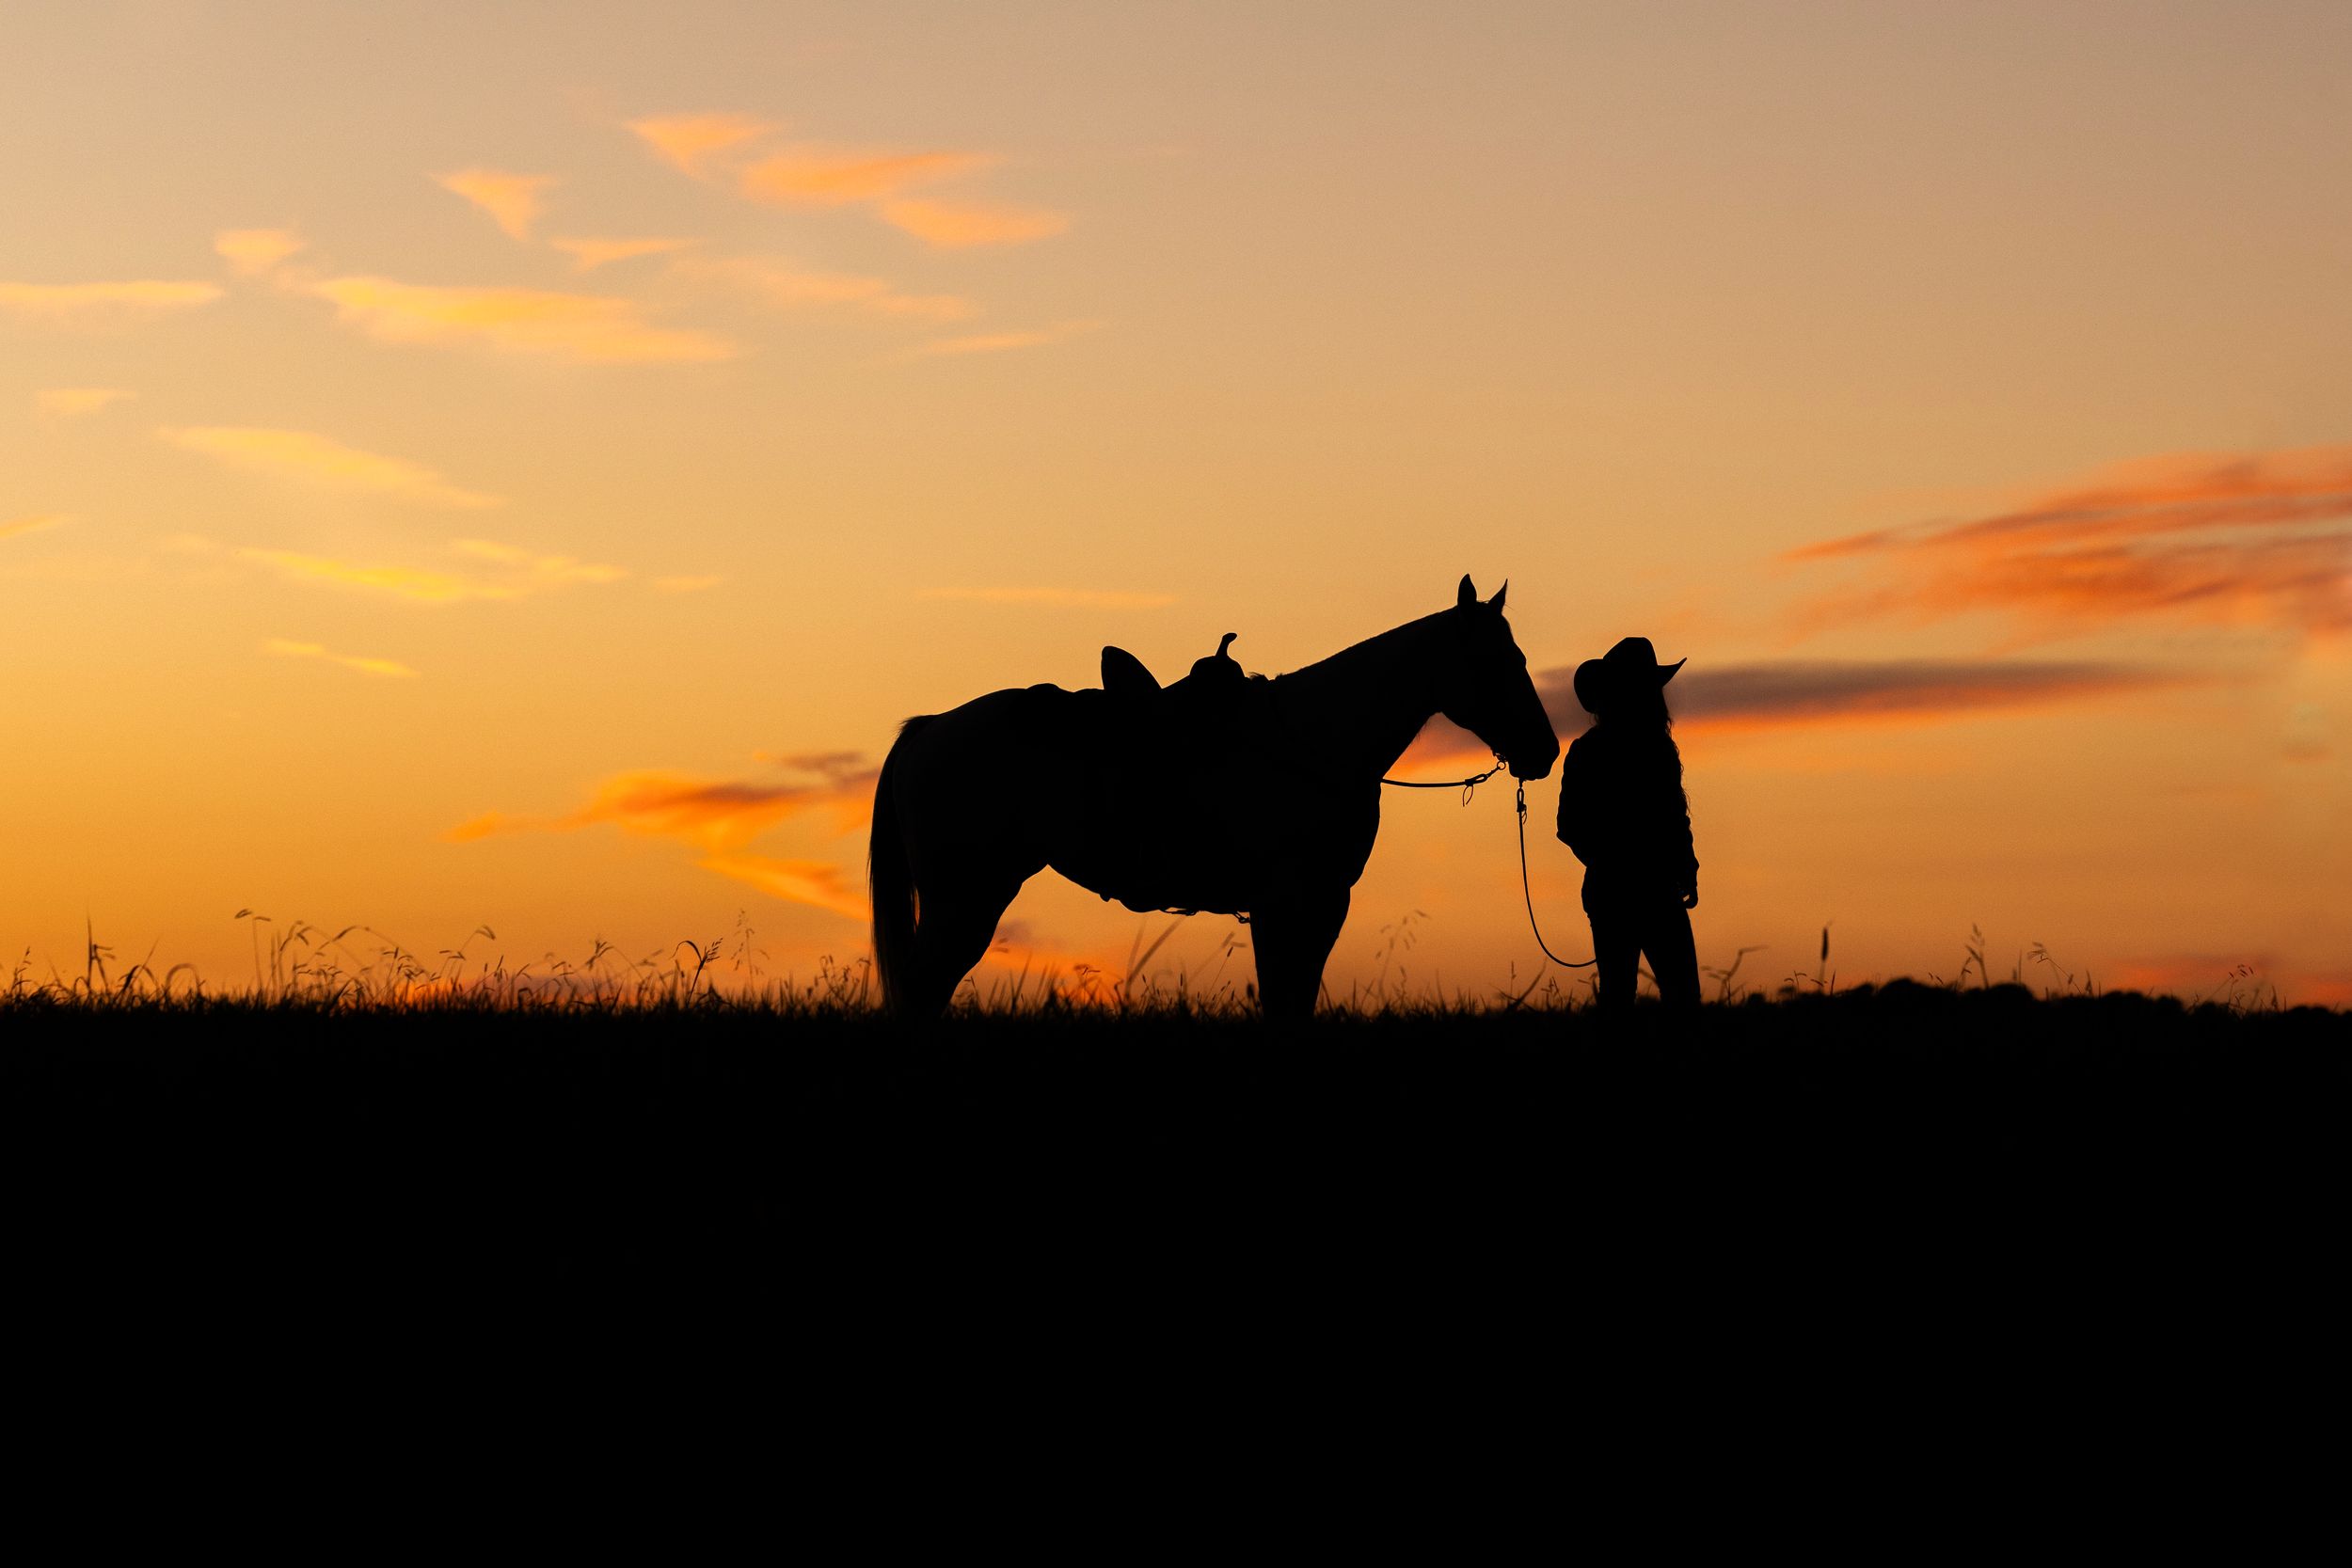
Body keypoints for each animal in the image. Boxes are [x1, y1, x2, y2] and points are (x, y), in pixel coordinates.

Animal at [868, 575, 1559, 1018]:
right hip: (965, 900)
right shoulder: (1293, 901)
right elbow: (1284, 1001)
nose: (1545, 750)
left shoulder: (1313, 905)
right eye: (1497, 660)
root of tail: (930, 728)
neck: (1315, 737)